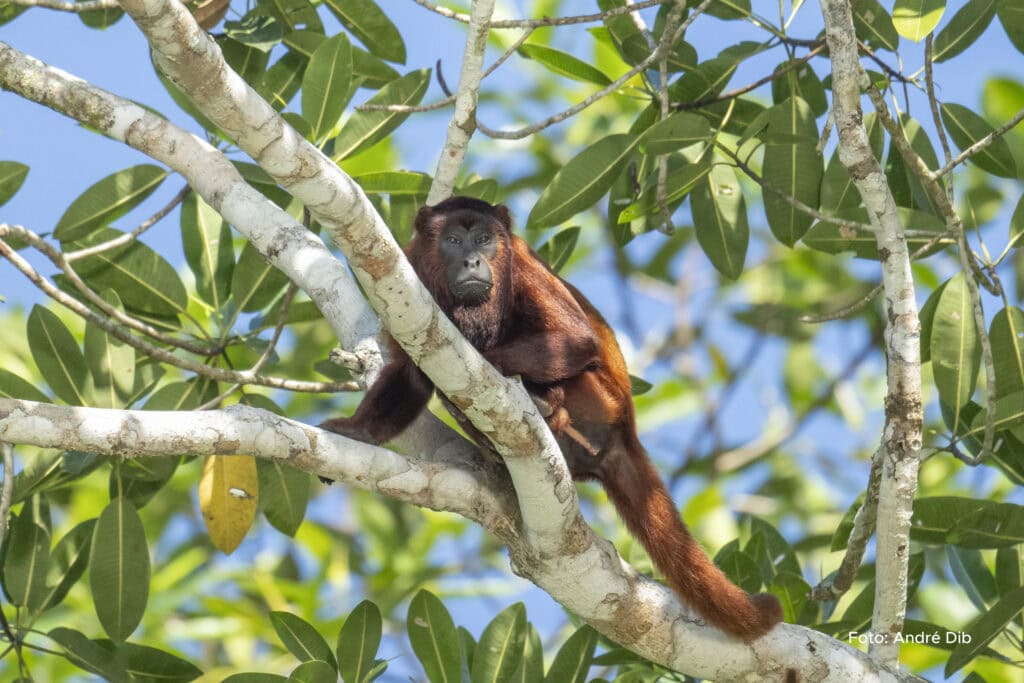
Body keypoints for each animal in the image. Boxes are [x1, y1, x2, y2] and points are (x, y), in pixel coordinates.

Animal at [325, 196, 782, 643]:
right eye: (453, 240)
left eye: (485, 238)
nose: (473, 260)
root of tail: (624, 434)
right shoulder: (409, 276)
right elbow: (409, 375)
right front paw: (358, 431)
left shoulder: (523, 264)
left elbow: (577, 339)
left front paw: (484, 358)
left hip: (599, 399)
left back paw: (543, 403)